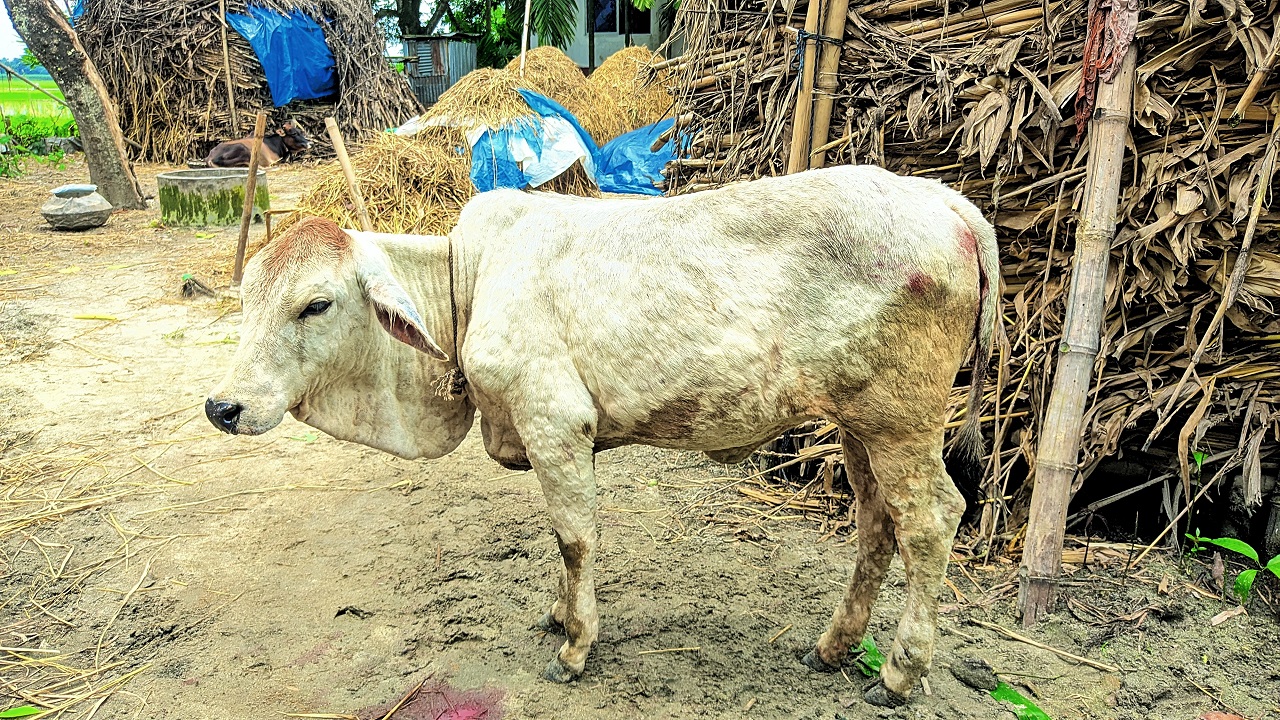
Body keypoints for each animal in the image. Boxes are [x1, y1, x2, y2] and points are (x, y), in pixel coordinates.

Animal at [204, 163, 998, 707]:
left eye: (316, 304)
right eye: (247, 296)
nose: (223, 406)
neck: (467, 284)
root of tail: (947, 201)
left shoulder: (555, 421)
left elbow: (573, 537)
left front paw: (575, 645)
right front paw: (559, 616)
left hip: (901, 422)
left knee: (932, 524)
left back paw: (898, 673)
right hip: (859, 426)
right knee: (876, 526)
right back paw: (833, 647)